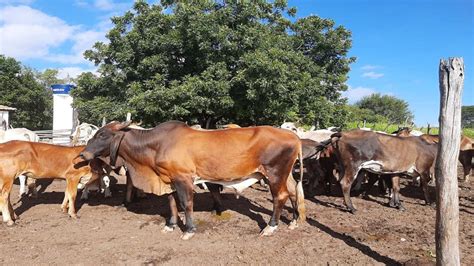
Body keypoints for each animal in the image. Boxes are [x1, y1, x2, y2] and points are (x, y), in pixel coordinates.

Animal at [80, 121, 306, 240]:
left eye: (102, 135)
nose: (82, 154)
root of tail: (293, 137)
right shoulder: (168, 179)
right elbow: (171, 203)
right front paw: (170, 225)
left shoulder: (183, 178)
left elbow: (186, 203)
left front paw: (189, 229)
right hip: (284, 175)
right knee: (293, 193)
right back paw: (294, 221)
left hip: (274, 173)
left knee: (280, 196)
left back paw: (271, 226)